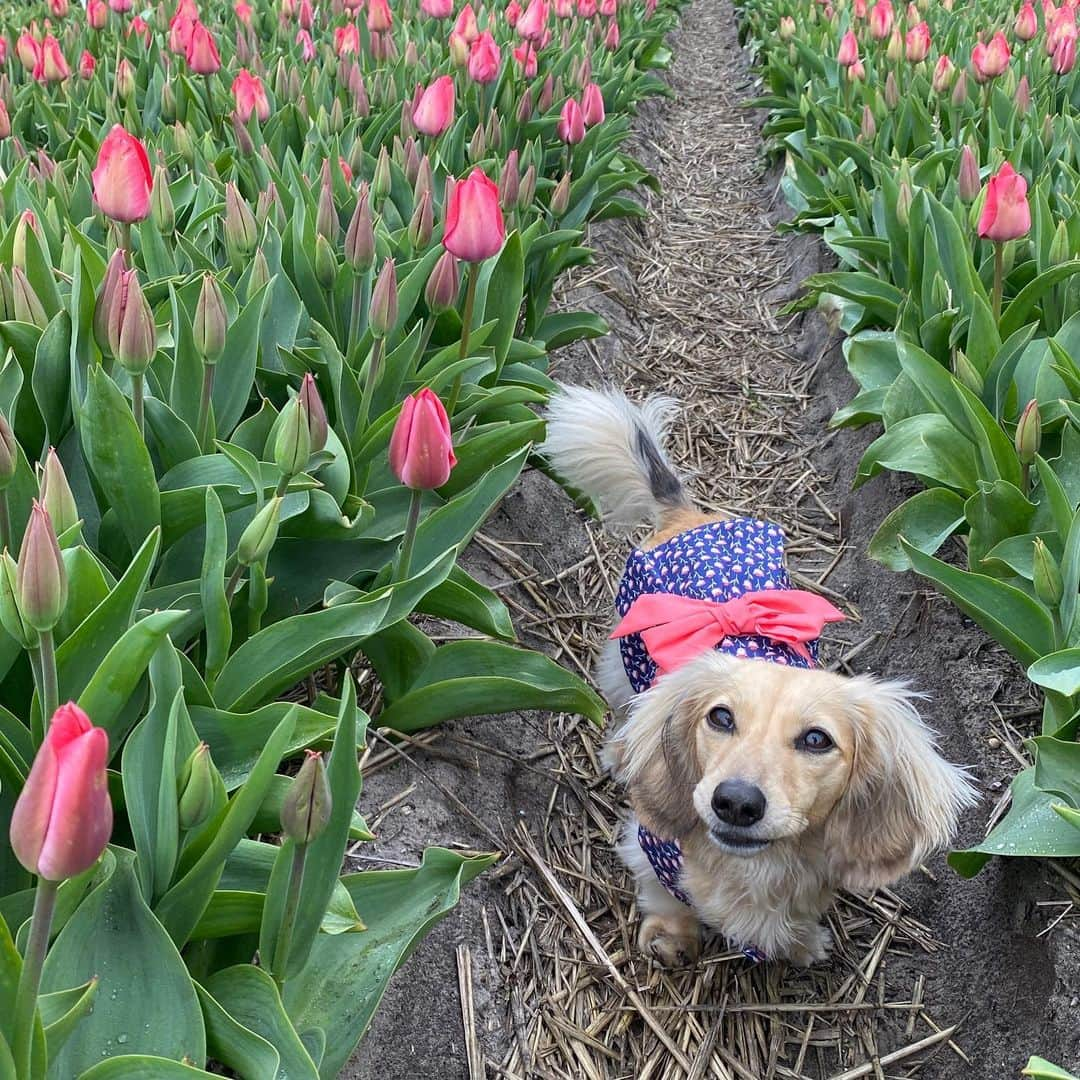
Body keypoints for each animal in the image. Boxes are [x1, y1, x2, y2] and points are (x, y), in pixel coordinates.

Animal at [544, 384, 976, 967]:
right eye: (720, 718)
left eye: (817, 740)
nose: (736, 802)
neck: (754, 868)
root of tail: (691, 517)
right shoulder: (650, 847)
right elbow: (663, 889)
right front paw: (671, 935)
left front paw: (799, 943)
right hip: (623, 658)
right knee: (623, 709)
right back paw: (620, 751)